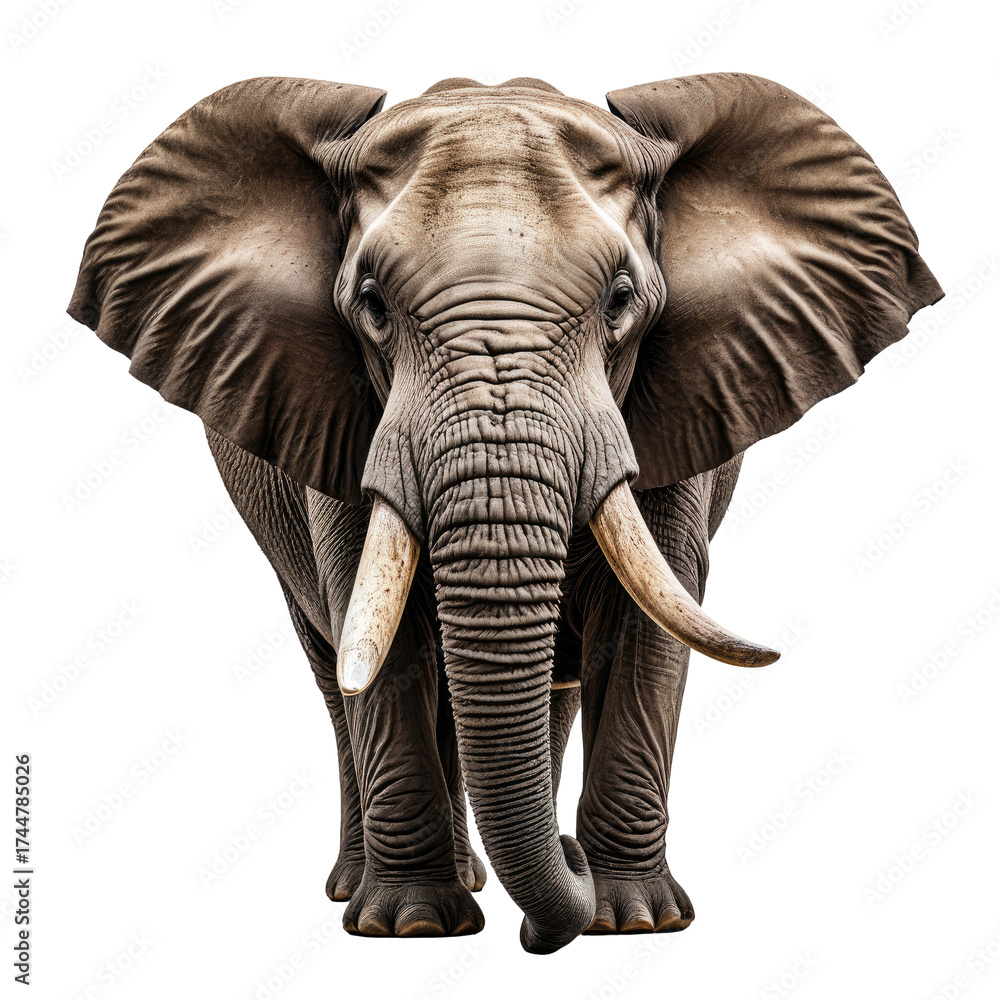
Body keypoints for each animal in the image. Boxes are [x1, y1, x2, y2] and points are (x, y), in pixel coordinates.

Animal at [68, 72, 942, 954]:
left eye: (621, 299)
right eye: (372, 304)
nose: (564, 884)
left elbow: (644, 624)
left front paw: (634, 921)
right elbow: (379, 632)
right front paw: (412, 925)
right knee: (334, 666)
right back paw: (382, 885)